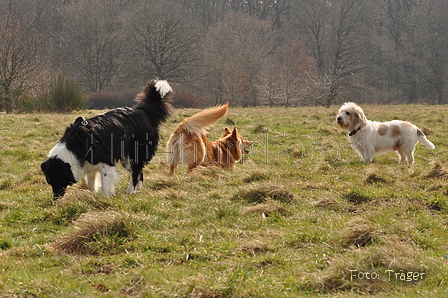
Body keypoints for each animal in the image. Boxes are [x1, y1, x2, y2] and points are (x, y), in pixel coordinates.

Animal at [40, 80, 173, 199]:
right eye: (50, 182)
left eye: (58, 180)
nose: (55, 199)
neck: (74, 147)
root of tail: (144, 111)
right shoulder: (90, 164)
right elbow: (91, 182)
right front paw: (93, 195)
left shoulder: (106, 162)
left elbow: (105, 183)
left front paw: (106, 197)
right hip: (126, 157)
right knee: (139, 172)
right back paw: (138, 189)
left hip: (135, 153)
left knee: (135, 173)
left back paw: (130, 191)